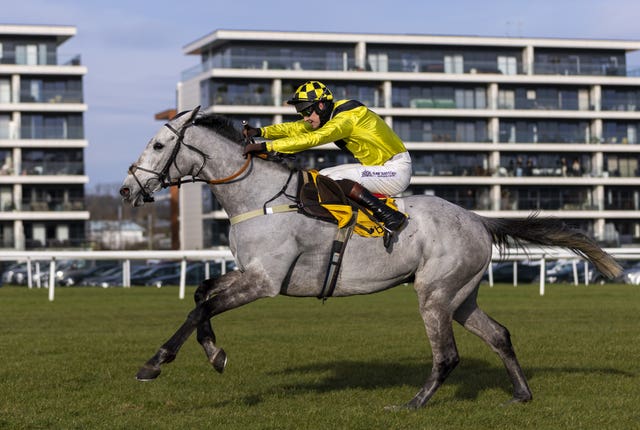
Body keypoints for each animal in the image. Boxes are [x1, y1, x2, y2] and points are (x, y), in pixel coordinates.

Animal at [119, 107, 620, 410]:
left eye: (159, 146)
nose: (126, 189)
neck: (259, 198)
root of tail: (479, 219)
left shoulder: (265, 281)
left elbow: (200, 306)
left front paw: (155, 362)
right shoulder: (248, 273)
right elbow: (201, 294)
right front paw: (215, 353)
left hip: (434, 293)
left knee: (447, 355)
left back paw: (414, 403)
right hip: (461, 295)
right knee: (498, 335)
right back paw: (521, 393)